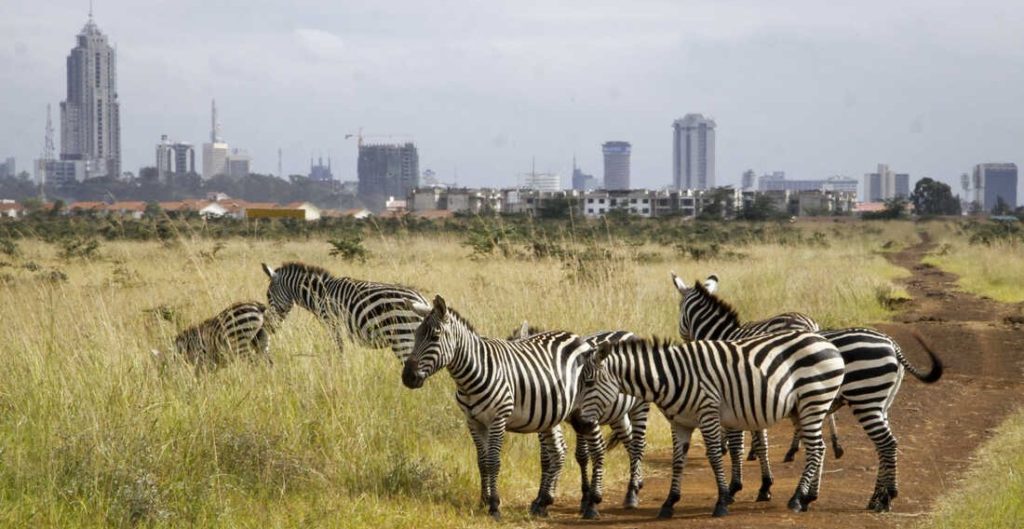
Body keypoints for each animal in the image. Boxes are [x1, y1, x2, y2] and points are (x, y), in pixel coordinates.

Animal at [262, 261, 430, 360]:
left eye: (268, 295)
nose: (269, 327)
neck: (321, 294)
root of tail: (422, 300)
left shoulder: (332, 323)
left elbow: (340, 349)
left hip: (402, 337)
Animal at [403, 296, 602, 519]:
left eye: (435, 337)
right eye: (416, 335)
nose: (407, 377)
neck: (471, 375)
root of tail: (577, 337)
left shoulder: (497, 419)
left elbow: (493, 461)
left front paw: (494, 506)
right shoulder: (473, 421)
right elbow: (481, 461)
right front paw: (483, 500)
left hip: (587, 408)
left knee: (597, 450)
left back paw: (591, 504)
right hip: (554, 414)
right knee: (558, 451)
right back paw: (543, 502)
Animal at [509, 321, 647, 511]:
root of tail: (628, 332)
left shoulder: (586, 416)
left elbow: (581, 455)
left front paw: (586, 497)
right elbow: (547, 456)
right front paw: (540, 498)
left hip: (639, 406)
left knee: (638, 444)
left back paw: (632, 493)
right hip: (618, 414)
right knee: (630, 442)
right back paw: (637, 483)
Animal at [581, 331, 843, 517]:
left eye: (589, 383)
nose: (581, 423)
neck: (671, 377)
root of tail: (827, 343)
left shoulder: (708, 413)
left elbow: (715, 457)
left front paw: (722, 502)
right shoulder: (680, 423)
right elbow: (678, 462)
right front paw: (669, 503)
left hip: (813, 401)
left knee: (815, 449)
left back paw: (797, 499)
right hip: (803, 408)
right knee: (819, 449)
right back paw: (808, 498)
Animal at [671, 272, 942, 511]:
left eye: (679, 311)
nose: (682, 340)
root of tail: (891, 344)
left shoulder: (738, 400)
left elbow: (740, 446)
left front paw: (736, 487)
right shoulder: (754, 401)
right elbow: (762, 443)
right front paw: (765, 486)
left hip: (864, 397)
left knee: (886, 444)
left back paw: (884, 498)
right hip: (880, 402)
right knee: (883, 446)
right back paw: (876, 497)